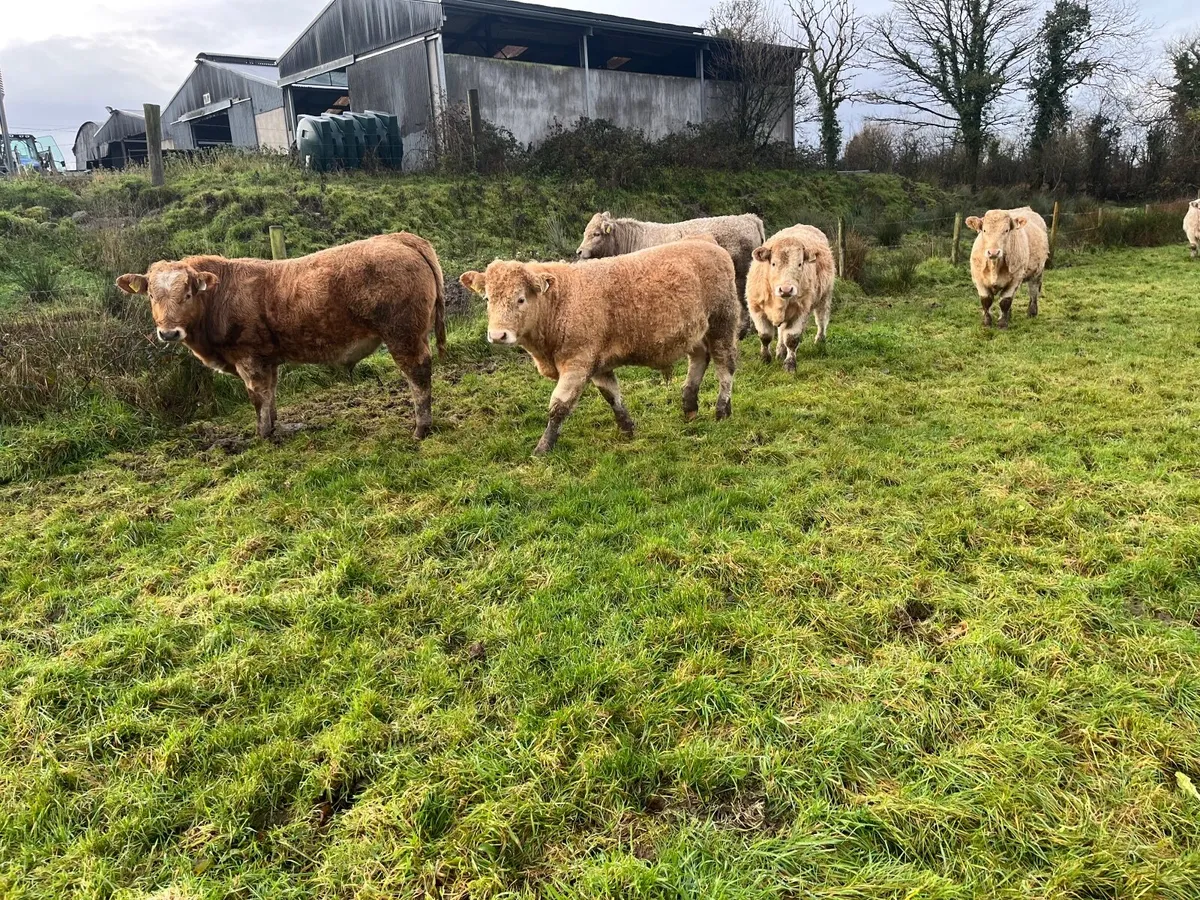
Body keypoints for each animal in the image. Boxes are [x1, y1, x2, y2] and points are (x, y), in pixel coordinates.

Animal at [116, 232, 446, 440]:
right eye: (152, 297)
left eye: (186, 293)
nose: (168, 332)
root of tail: (399, 237)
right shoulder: (267, 359)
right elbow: (271, 395)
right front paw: (273, 427)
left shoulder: (249, 358)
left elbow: (258, 397)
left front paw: (263, 435)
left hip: (403, 334)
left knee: (418, 373)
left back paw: (421, 428)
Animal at [460, 237, 739, 455]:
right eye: (487, 299)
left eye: (520, 299)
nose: (498, 335)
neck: (563, 301)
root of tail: (709, 243)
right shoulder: (598, 364)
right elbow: (612, 396)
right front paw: (627, 429)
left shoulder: (577, 362)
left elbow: (558, 406)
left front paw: (542, 447)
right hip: (695, 333)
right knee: (700, 360)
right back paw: (689, 407)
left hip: (723, 323)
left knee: (725, 366)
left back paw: (722, 410)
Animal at [745, 224, 835, 372]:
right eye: (773, 264)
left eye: (800, 264)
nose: (786, 289)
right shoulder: (756, 309)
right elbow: (765, 336)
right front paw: (765, 358)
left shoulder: (800, 311)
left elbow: (792, 339)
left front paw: (790, 364)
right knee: (781, 331)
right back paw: (780, 351)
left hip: (824, 296)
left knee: (822, 320)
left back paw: (820, 340)